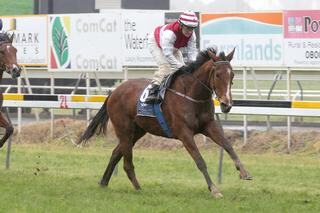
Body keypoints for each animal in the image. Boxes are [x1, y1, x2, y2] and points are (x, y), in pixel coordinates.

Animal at [78, 47, 252, 198]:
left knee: (115, 153)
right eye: (217, 75)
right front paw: (214, 190)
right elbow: (200, 161)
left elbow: (228, 145)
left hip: (137, 131)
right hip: (124, 129)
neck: (192, 95)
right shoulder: (184, 133)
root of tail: (114, 91)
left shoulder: (209, 126)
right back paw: (138, 188)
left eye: (232, 75)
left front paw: (244, 172)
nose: (227, 104)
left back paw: (104, 182)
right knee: (127, 162)